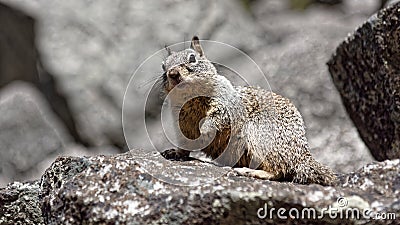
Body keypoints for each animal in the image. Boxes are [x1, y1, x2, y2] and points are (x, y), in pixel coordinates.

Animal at [159, 36, 338, 185]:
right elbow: (185, 143)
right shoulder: (181, 123)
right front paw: (175, 152)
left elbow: (217, 117)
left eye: (192, 58)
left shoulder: (225, 105)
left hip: (258, 134)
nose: (172, 73)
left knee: (279, 171)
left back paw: (250, 172)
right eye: (163, 66)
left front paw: (204, 129)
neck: (190, 98)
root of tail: (302, 157)